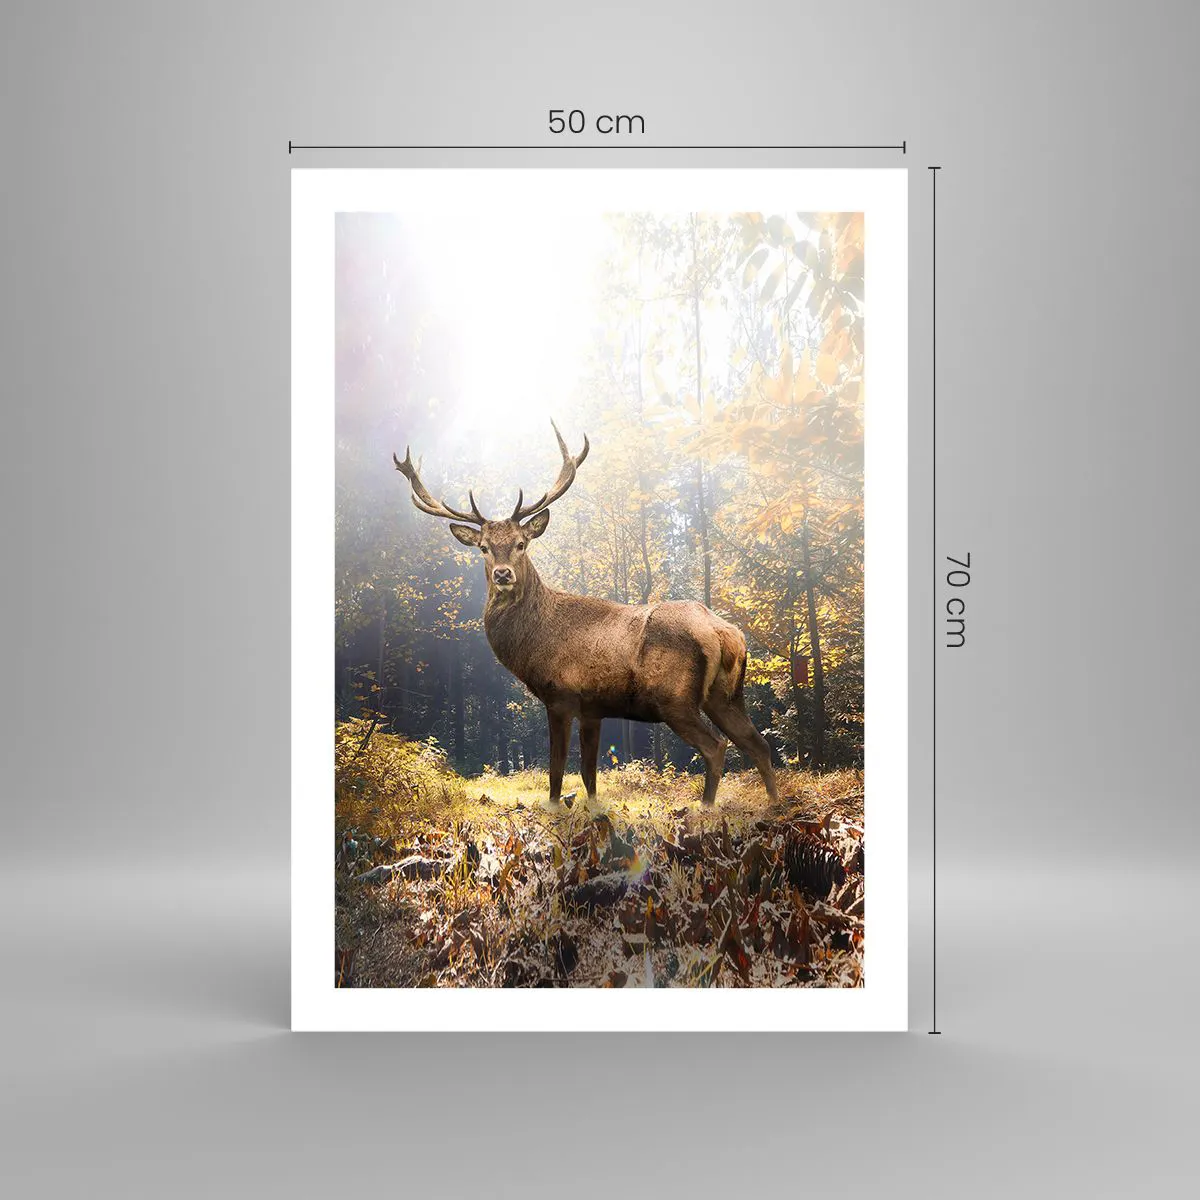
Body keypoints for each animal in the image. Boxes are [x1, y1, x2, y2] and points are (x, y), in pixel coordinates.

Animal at [393, 421, 780, 807]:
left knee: (717, 746)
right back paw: (774, 803)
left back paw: (706, 807)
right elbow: (589, 773)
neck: (533, 643)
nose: (503, 574)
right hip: (726, 695)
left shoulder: (560, 695)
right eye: (484, 548)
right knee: (759, 744)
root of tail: (724, 633)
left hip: (675, 697)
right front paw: (593, 808)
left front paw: (554, 807)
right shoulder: (594, 707)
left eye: (521, 543)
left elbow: (556, 768)